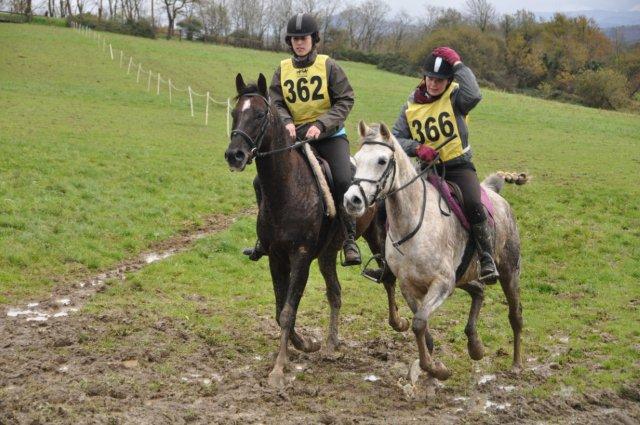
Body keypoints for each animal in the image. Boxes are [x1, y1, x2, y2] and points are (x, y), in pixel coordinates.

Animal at [222, 73, 408, 388]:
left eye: (259, 115)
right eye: (235, 113)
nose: (234, 155)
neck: (287, 189)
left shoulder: (301, 256)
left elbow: (288, 310)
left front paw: (278, 369)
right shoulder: (276, 257)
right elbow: (280, 309)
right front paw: (305, 344)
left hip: (377, 236)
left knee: (388, 277)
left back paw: (399, 322)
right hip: (327, 255)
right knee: (335, 293)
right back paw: (332, 345)